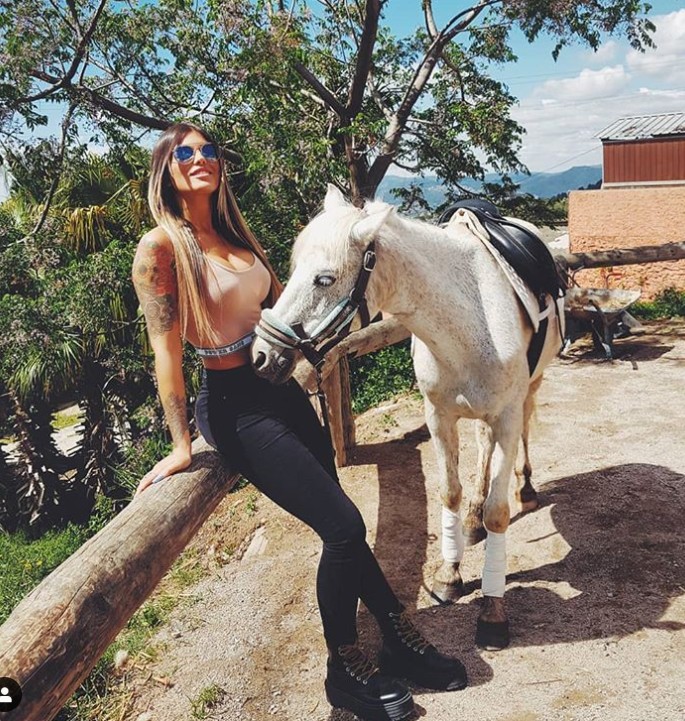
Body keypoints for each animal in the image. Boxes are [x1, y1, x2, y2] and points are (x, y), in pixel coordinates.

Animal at [250, 184, 565, 649]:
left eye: (324, 279)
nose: (261, 356)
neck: (469, 324)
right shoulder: (439, 416)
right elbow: (449, 493)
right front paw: (451, 573)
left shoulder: (505, 415)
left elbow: (499, 512)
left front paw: (492, 610)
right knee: (482, 447)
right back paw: (472, 519)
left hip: (531, 388)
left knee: (522, 432)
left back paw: (525, 487)